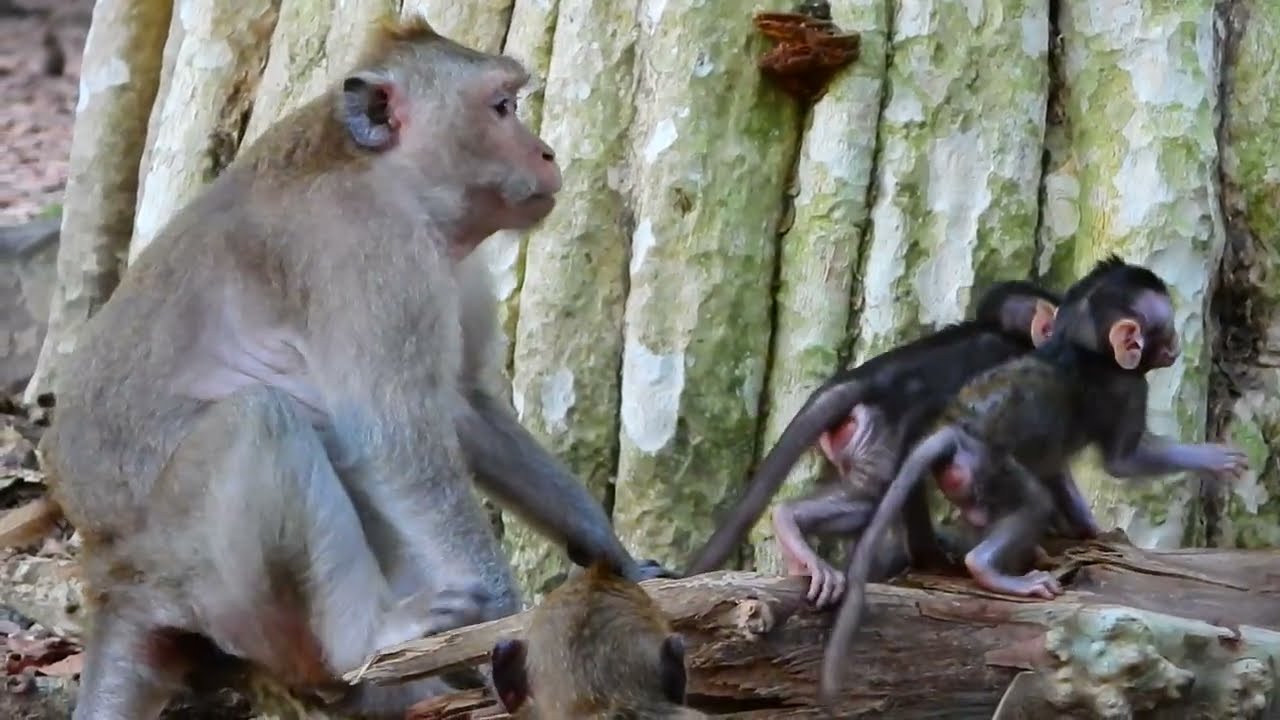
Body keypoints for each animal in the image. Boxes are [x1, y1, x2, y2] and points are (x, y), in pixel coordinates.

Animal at [41, 18, 668, 719]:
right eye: (502, 107)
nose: (548, 154)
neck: (385, 175)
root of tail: (109, 579)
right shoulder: (374, 254)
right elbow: (393, 434)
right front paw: (501, 613)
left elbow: (465, 409)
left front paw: (611, 553)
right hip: (186, 568)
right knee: (260, 420)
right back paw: (365, 642)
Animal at [817, 256, 1249, 704]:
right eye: (1166, 330)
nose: (1177, 346)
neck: (1081, 343)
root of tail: (955, 432)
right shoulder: (1128, 388)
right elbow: (1124, 461)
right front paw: (1214, 458)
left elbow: (1056, 467)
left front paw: (1089, 529)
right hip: (989, 469)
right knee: (1032, 502)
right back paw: (992, 569)